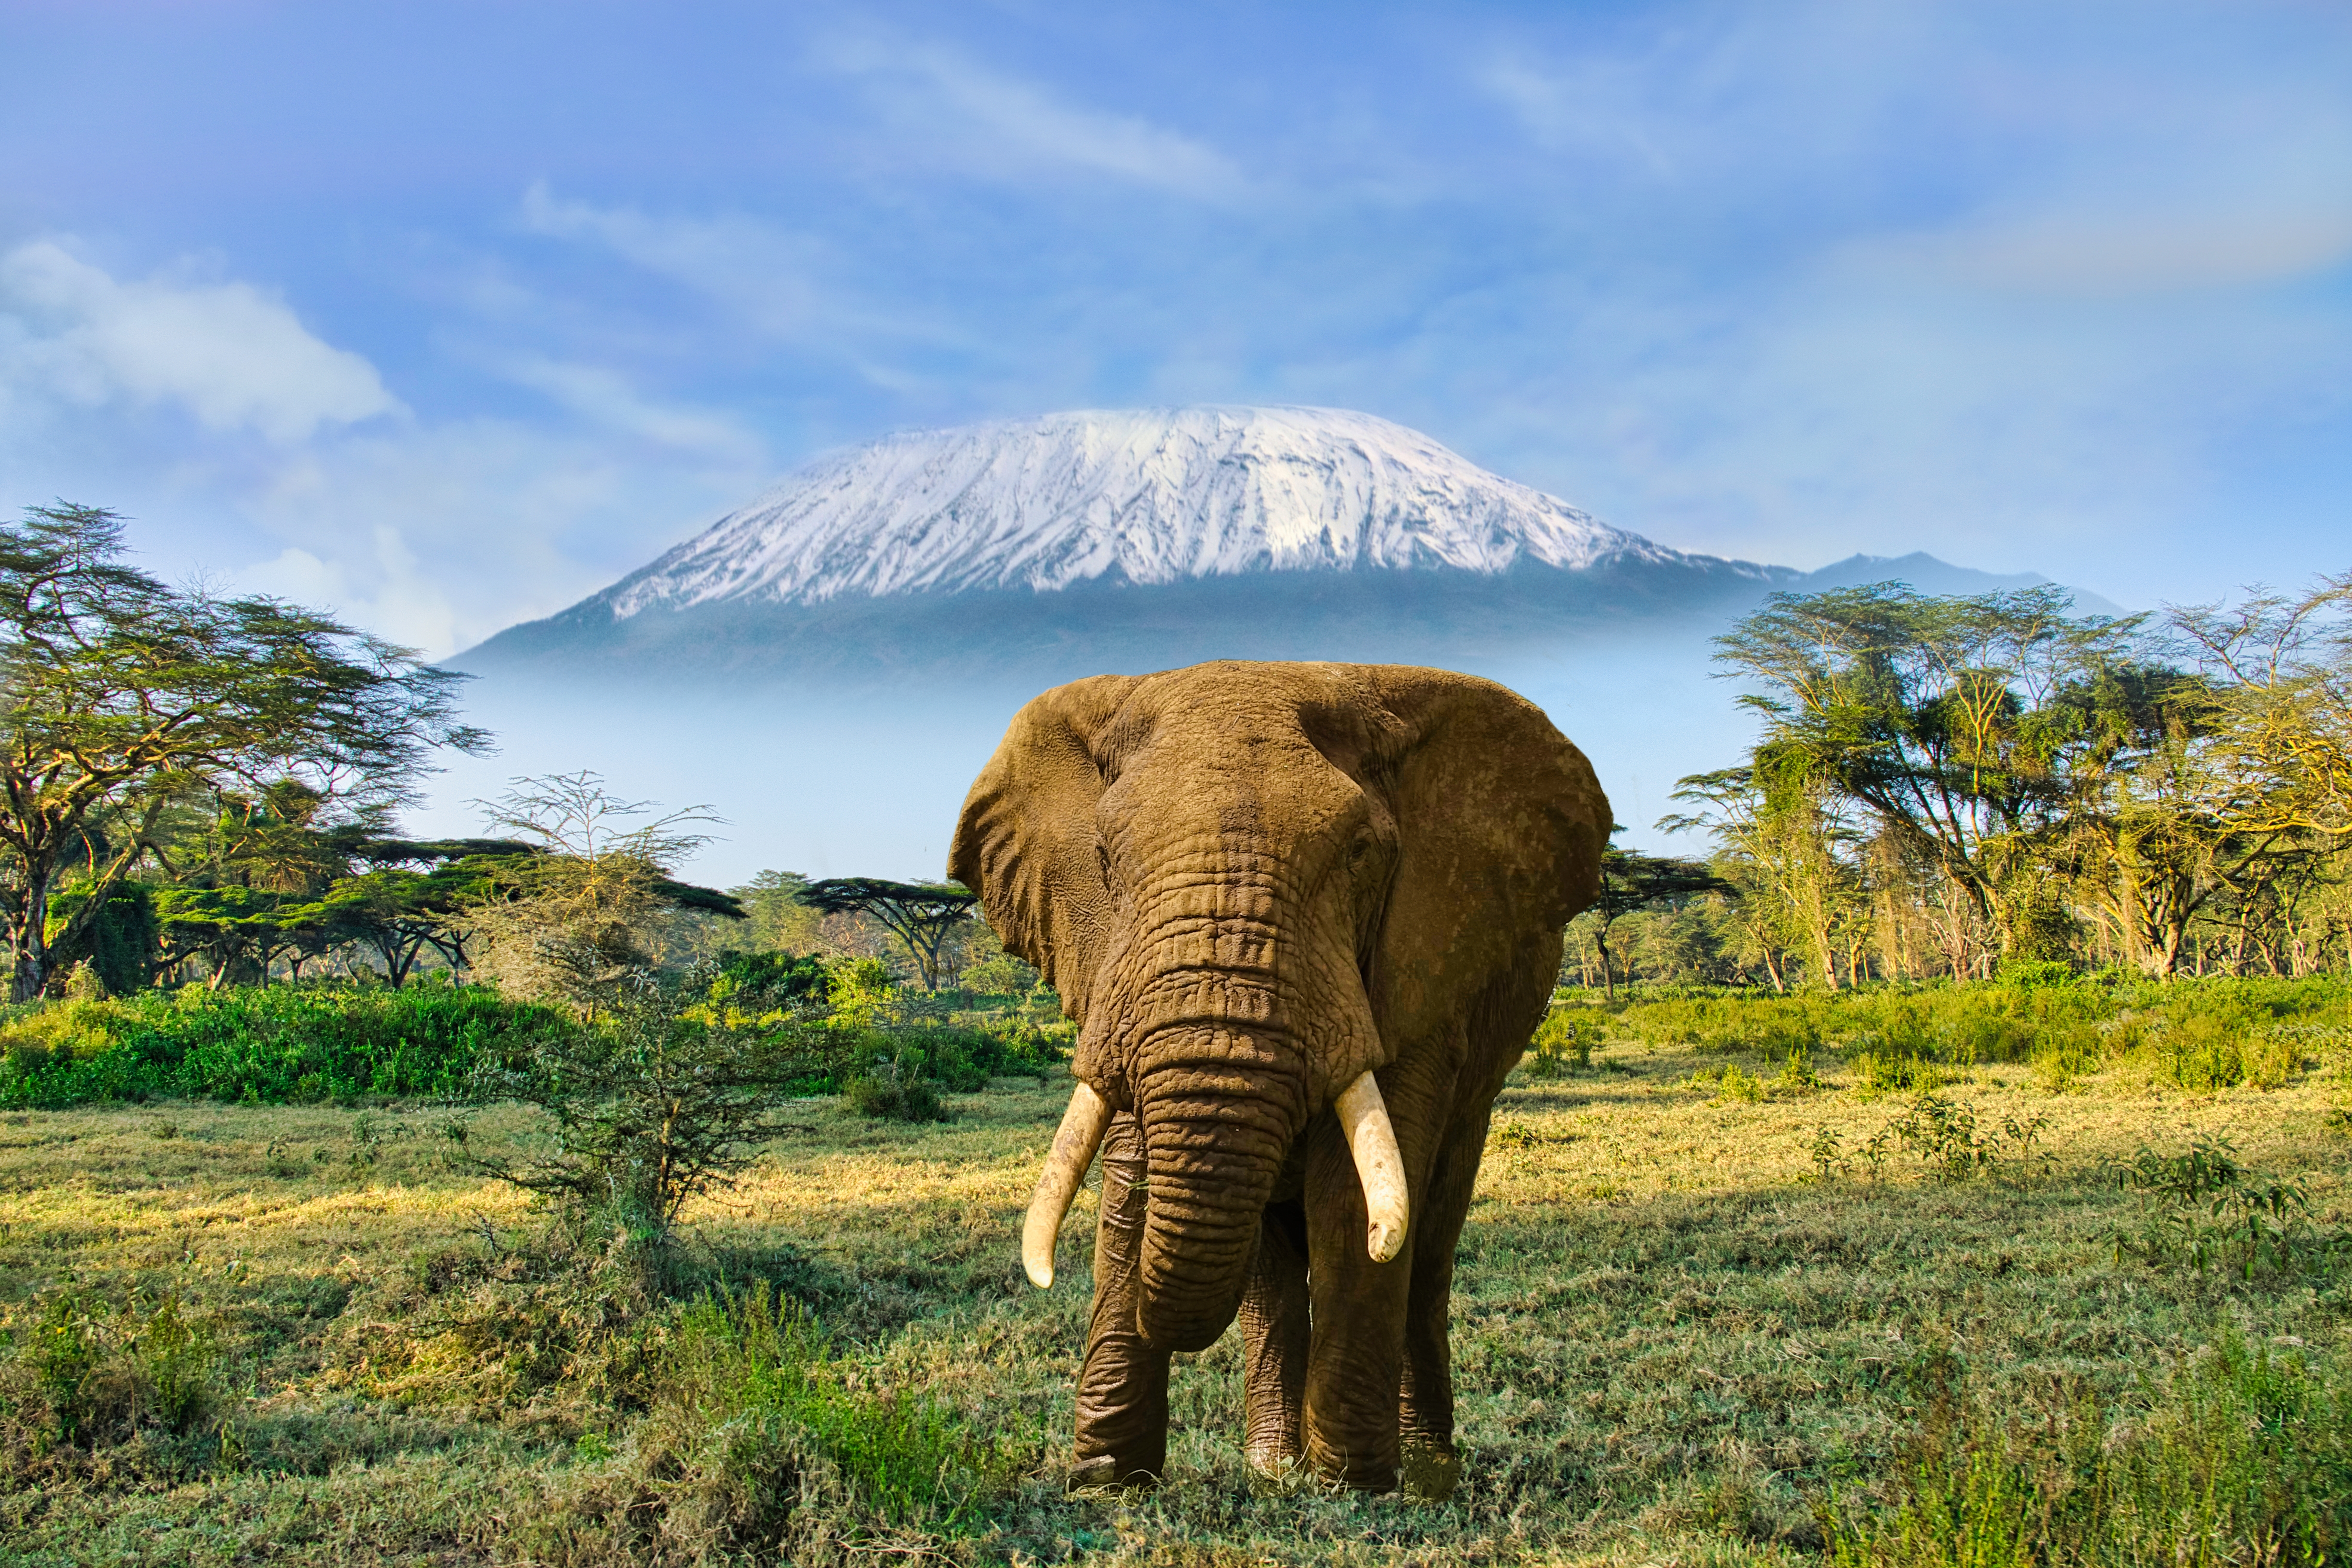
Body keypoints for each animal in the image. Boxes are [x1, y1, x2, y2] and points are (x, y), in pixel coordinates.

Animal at [948, 660, 1610, 1494]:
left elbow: (1354, 1196)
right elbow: (1132, 1165)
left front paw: (1352, 1488)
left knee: (1430, 1242)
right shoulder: (1109, 974)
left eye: (1360, 854)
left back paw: (1426, 1471)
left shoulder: (1421, 963)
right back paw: (1270, 1467)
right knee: (1269, 1270)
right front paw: (1106, 1484)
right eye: (1102, 858)